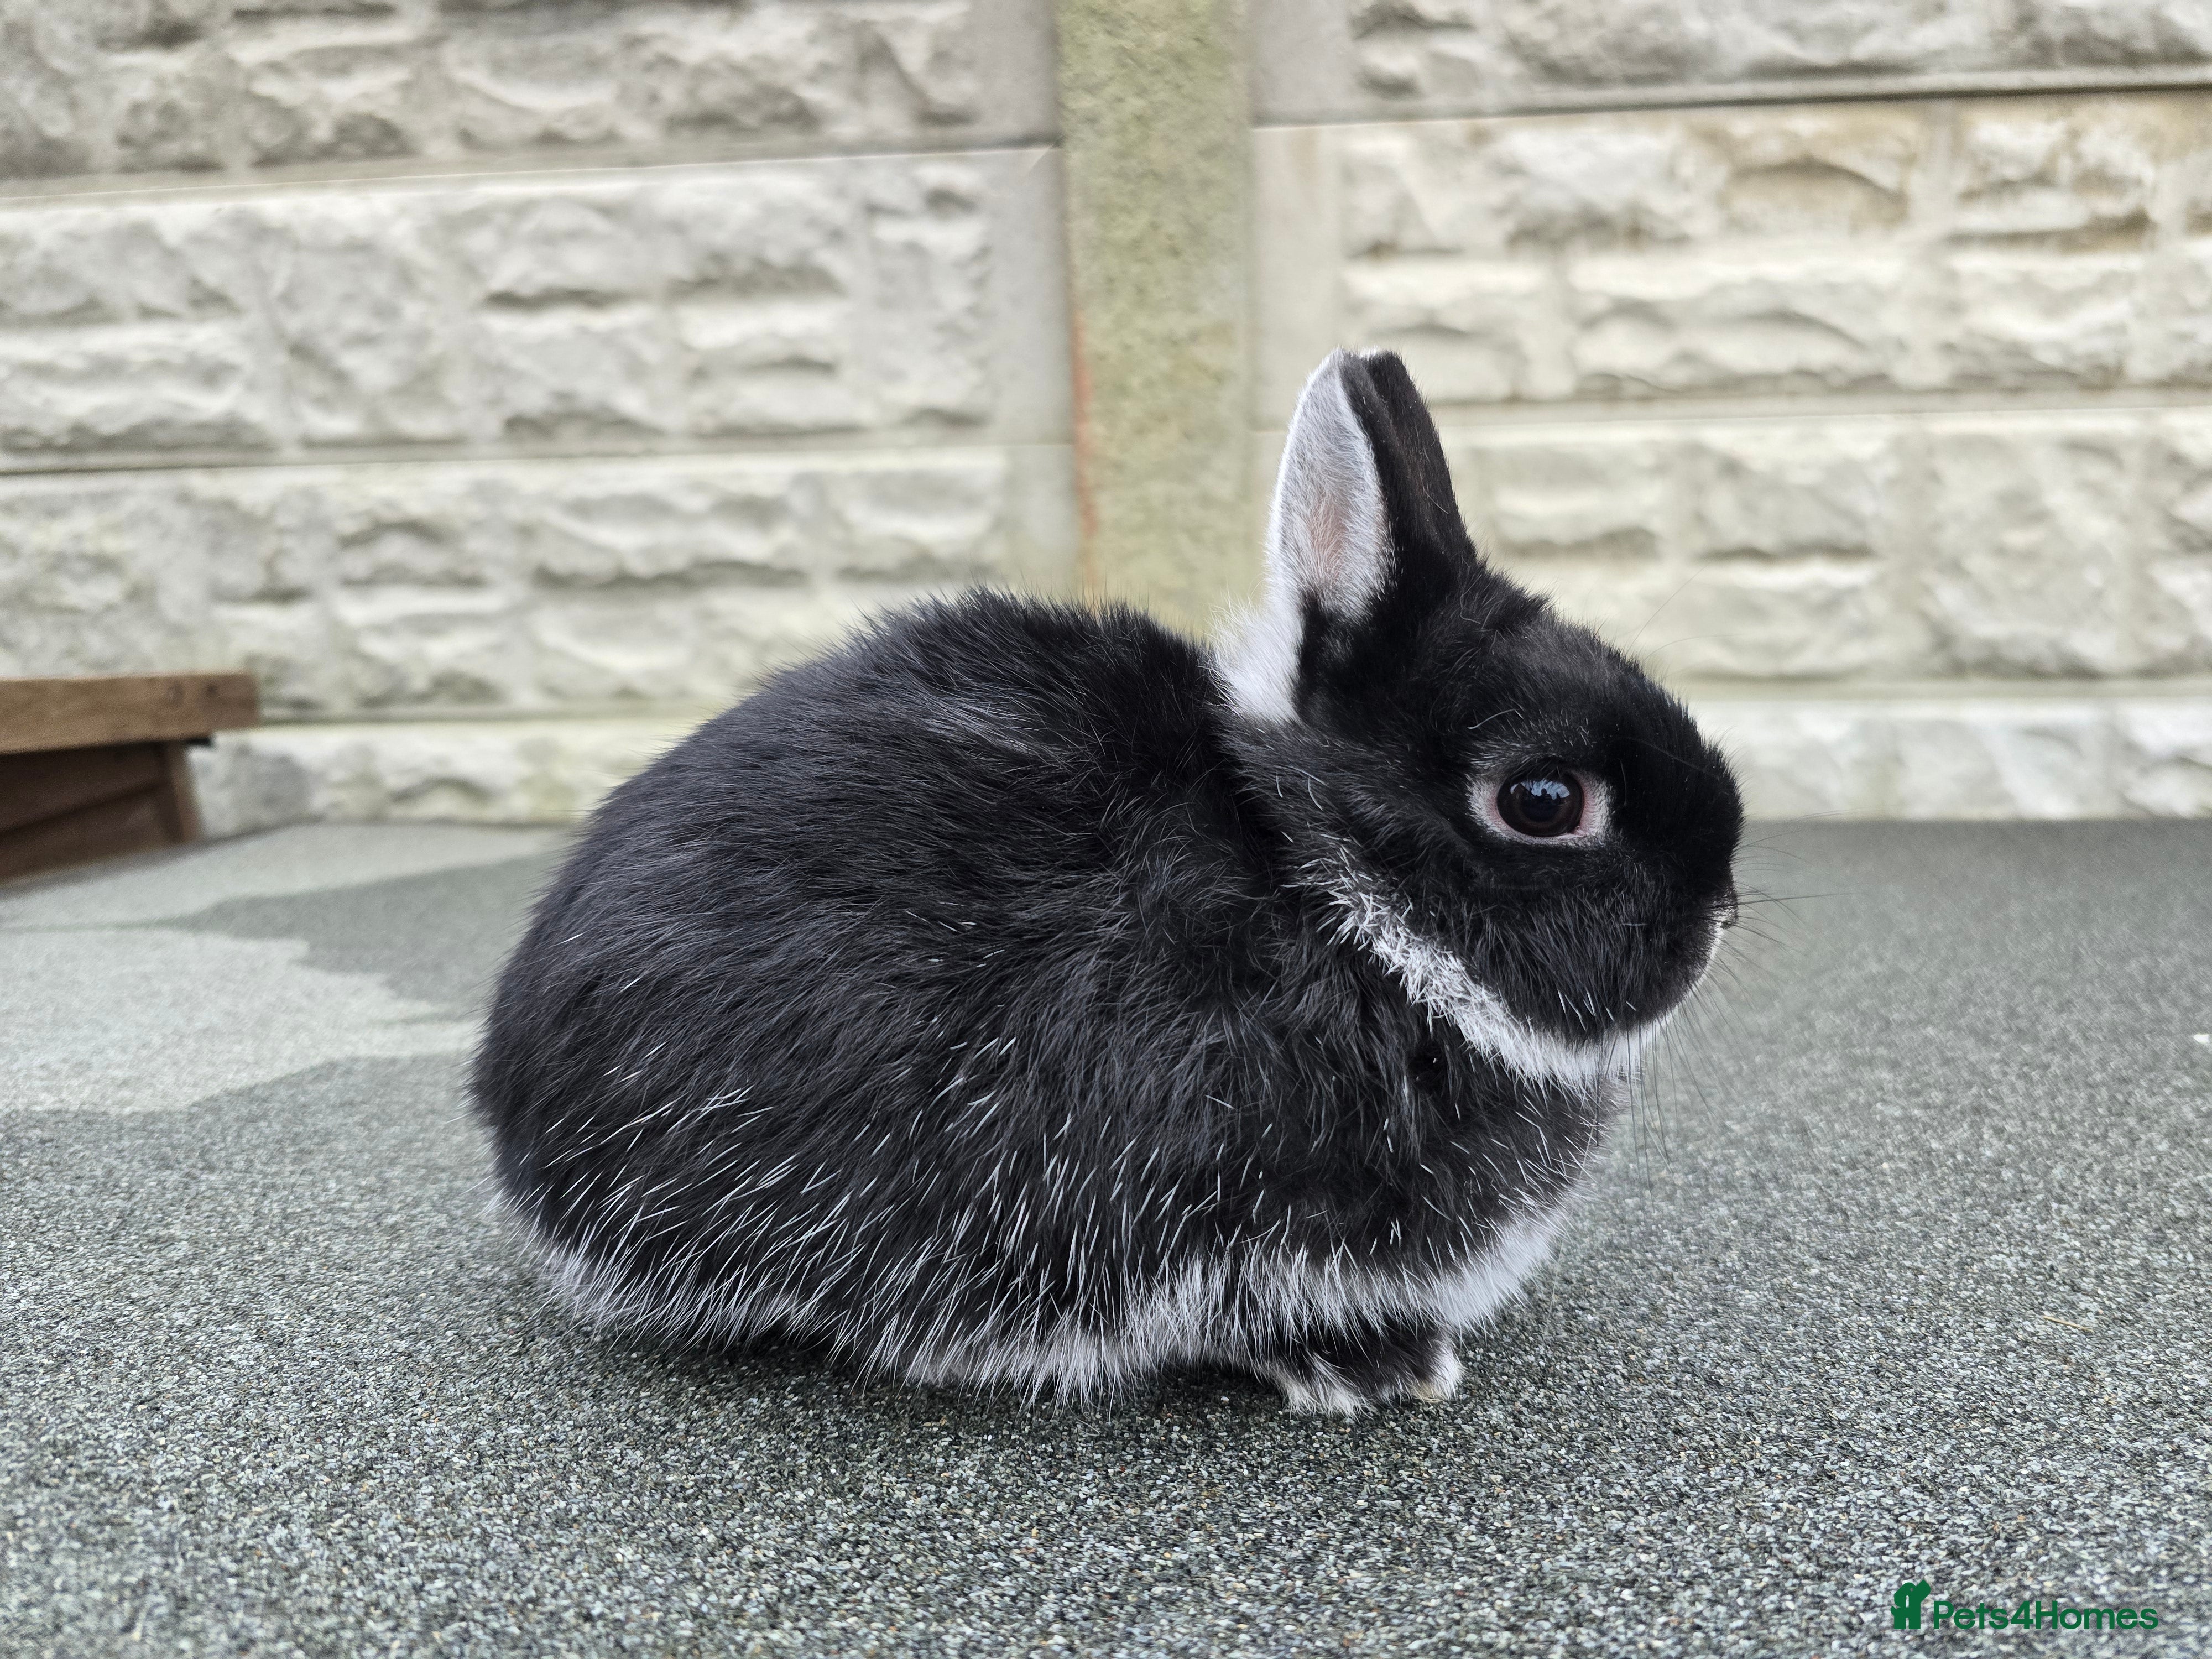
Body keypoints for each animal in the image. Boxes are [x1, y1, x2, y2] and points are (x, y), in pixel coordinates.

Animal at [473, 348, 1742, 1415]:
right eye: (1544, 801)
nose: (1718, 916)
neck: (1331, 892)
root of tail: (512, 1107)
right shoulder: (1194, 1214)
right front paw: (1369, 1367)